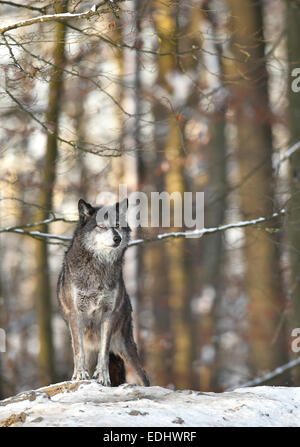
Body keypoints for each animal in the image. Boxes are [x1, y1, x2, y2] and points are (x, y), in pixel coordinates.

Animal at [56, 198, 149, 386]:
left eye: (118, 225)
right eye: (101, 226)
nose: (117, 238)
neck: (99, 267)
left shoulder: (109, 314)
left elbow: (104, 352)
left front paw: (103, 376)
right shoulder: (75, 315)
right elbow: (78, 352)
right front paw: (80, 375)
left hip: (125, 347)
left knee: (144, 377)